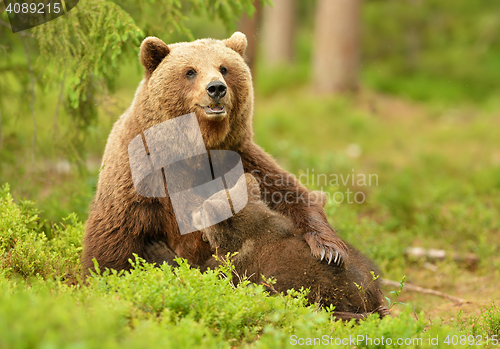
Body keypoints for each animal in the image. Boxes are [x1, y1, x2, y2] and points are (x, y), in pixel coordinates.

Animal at [82, 31, 348, 274]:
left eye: (224, 68)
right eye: (190, 71)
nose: (216, 88)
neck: (198, 146)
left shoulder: (239, 157)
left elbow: (288, 196)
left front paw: (329, 250)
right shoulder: (143, 177)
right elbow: (114, 235)